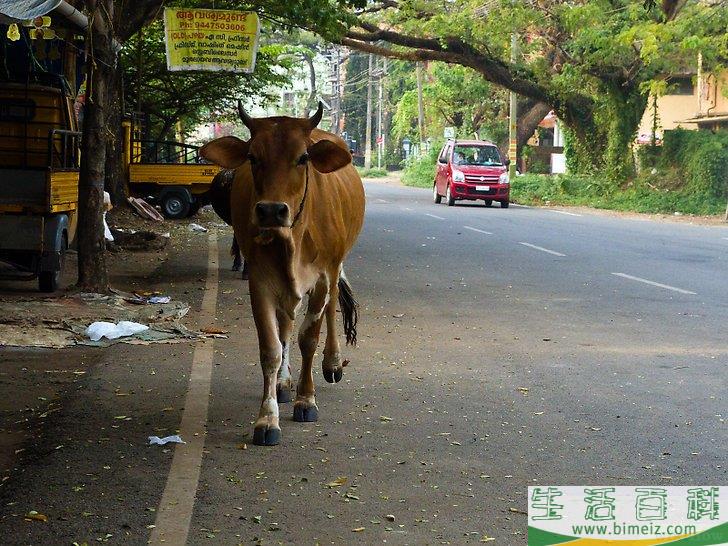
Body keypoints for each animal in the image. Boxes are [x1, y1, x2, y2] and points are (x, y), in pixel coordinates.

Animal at [199, 103, 366, 446]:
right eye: (252, 157)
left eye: (303, 157)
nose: (271, 211)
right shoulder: (261, 282)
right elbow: (271, 348)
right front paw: (267, 418)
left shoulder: (322, 278)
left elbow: (308, 339)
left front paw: (307, 400)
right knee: (286, 325)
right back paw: (284, 383)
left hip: (335, 267)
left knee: (331, 307)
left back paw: (331, 363)